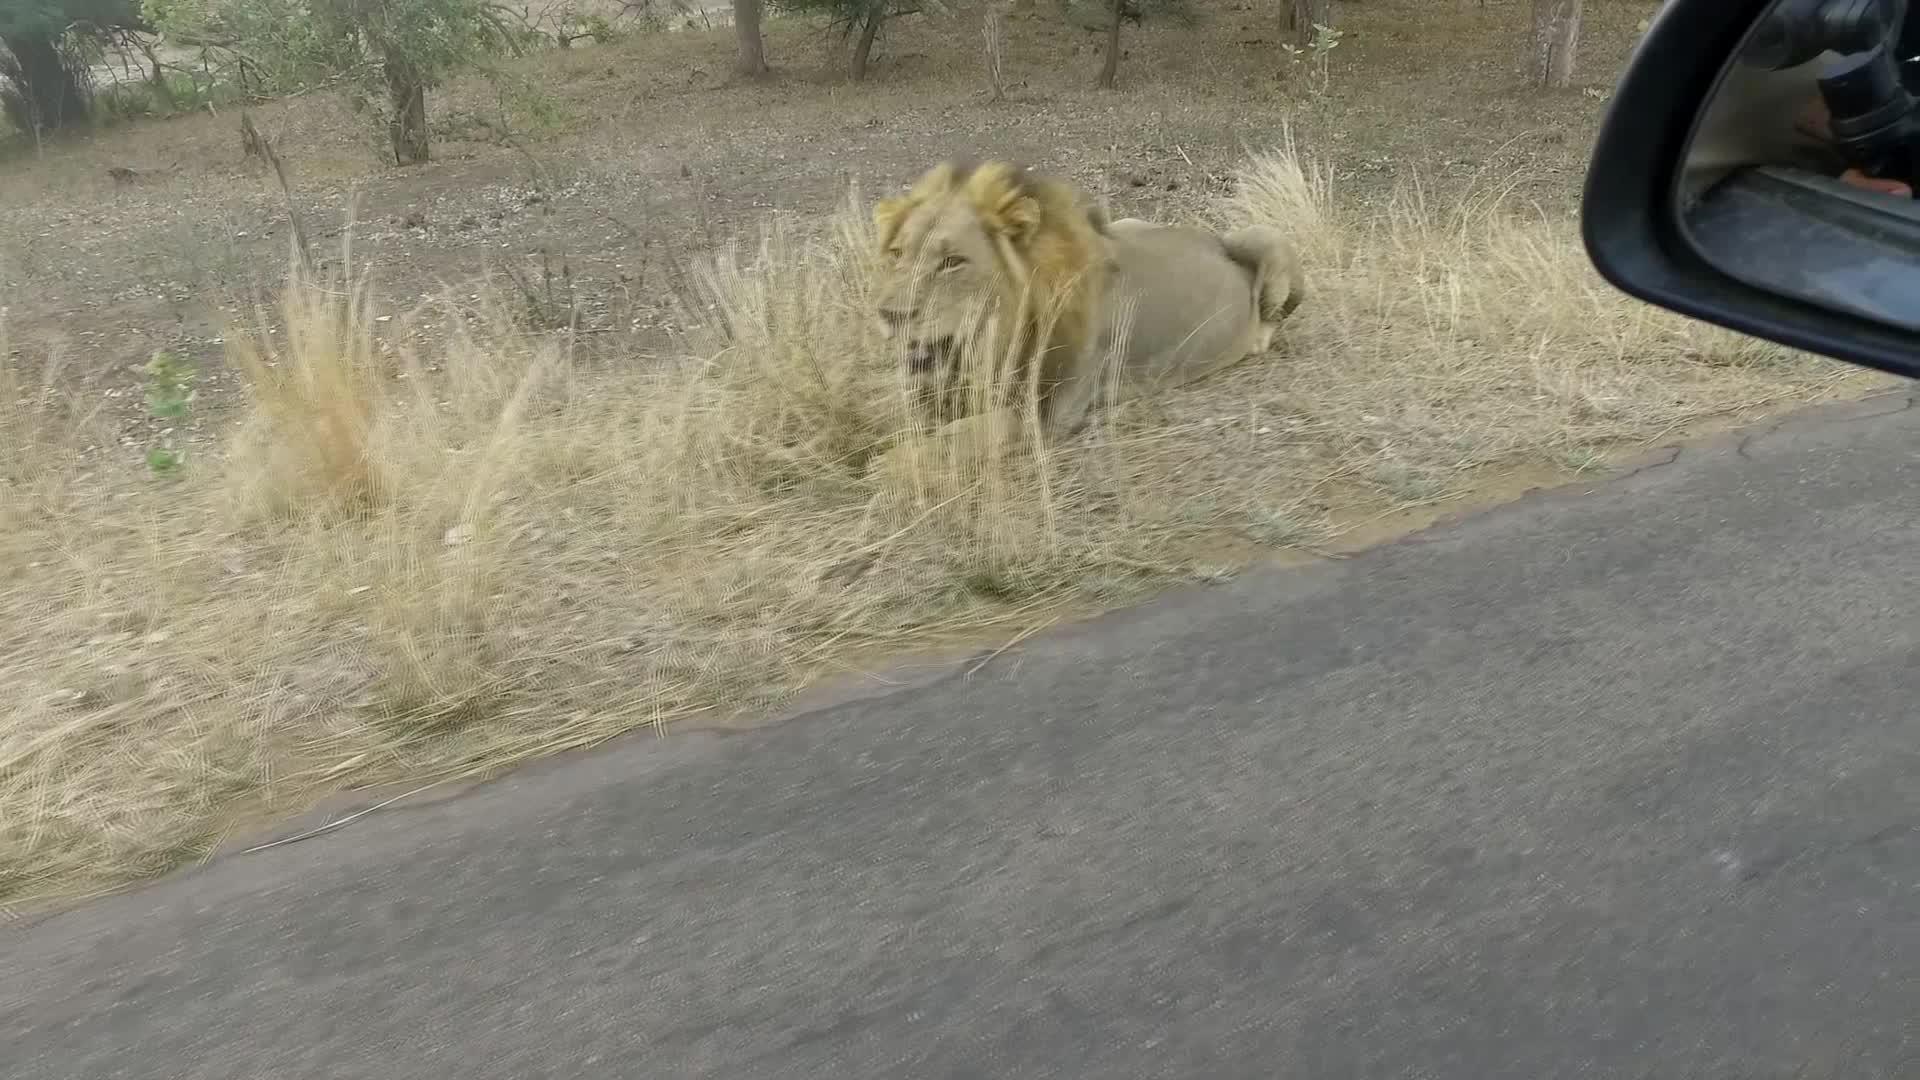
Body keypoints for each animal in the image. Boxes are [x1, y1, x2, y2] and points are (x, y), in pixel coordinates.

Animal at [867, 158, 1305, 474]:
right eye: (897, 253)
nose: (887, 314)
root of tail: (1211, 238)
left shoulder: (1049, 413)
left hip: (1266, 238)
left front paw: (887, 464)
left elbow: (959, 436)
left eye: (953, 262)